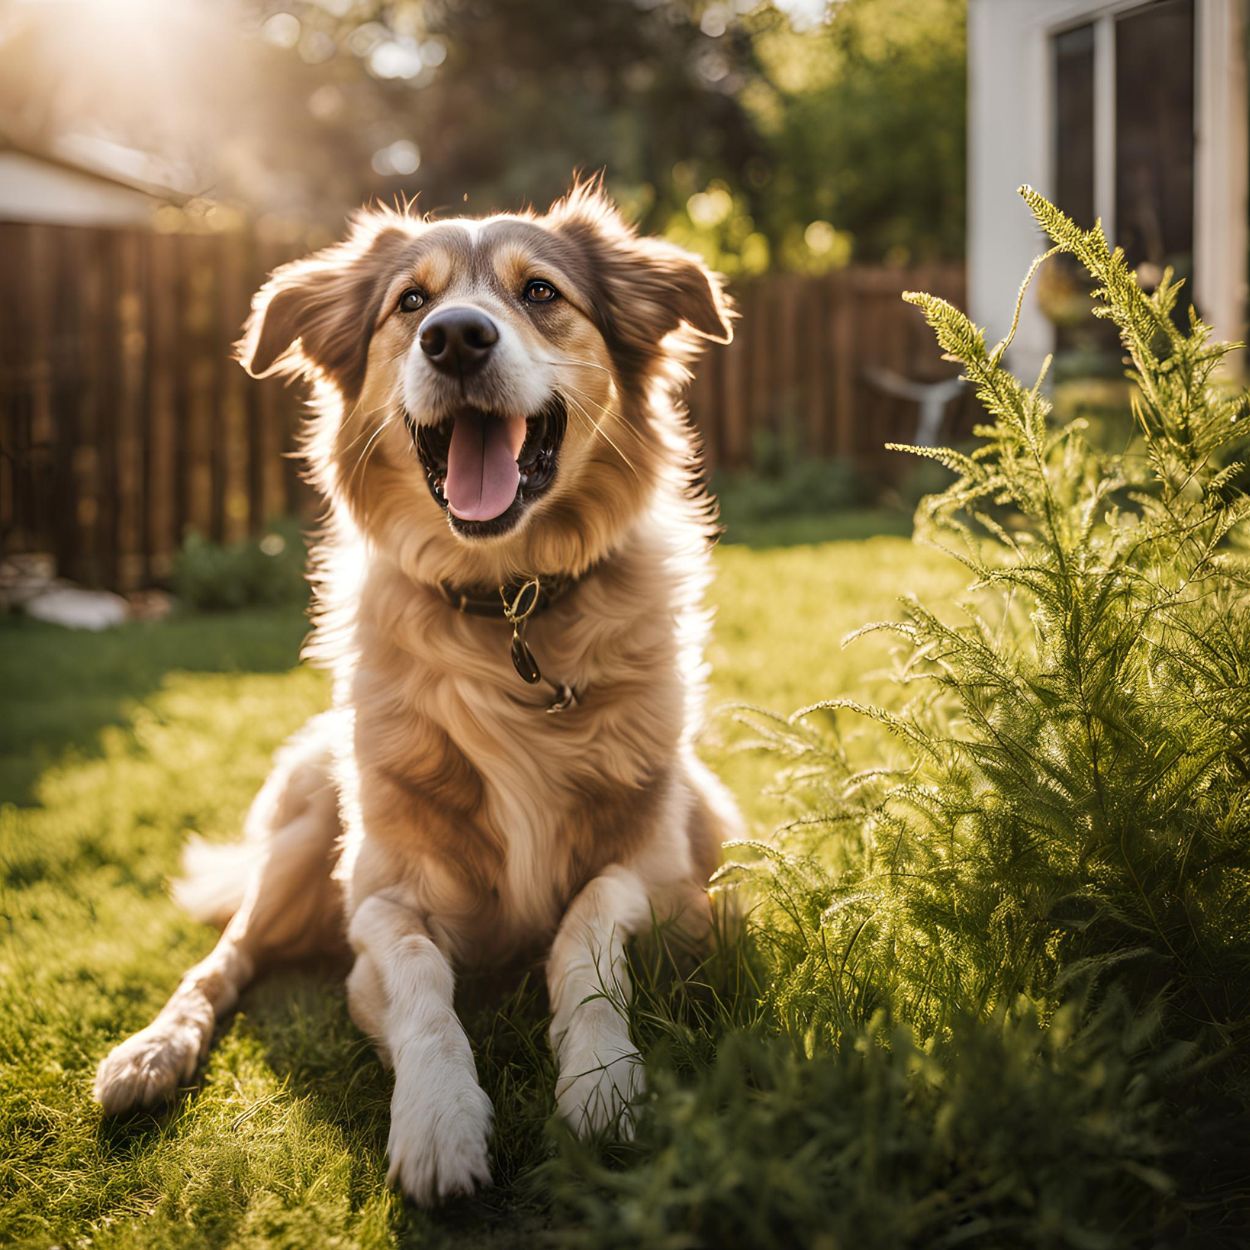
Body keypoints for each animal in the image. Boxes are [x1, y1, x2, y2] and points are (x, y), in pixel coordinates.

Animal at [100, 181, 740, 1205]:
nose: (457, 338)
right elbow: (416, 977)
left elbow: (586, 929)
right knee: (226, 957)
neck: (505, 602)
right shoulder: (378, 902)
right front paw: (440, 1120)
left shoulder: (667, 873)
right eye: (410, 302)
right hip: (304, 832)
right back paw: (153, 1051)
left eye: (540, 291)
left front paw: (602, 1078)